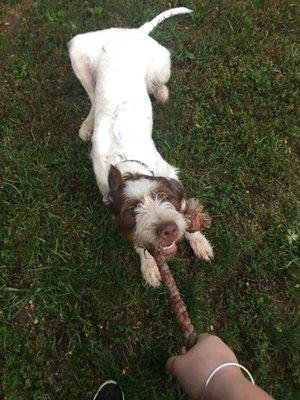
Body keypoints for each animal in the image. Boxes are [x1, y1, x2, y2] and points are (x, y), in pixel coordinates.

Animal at [68, 7, 213, 286]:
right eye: (133, 210)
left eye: (163, 197)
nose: (167, 230)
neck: (126, 164)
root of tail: (133, 32)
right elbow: (139, 242)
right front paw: (149, 266)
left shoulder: (169, 173)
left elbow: (185, 210)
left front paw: (199, 241)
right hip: (76, 49)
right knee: (92, 97)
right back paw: (88, 124)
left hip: (163, 65)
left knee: (157, 81)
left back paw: (161, 92)